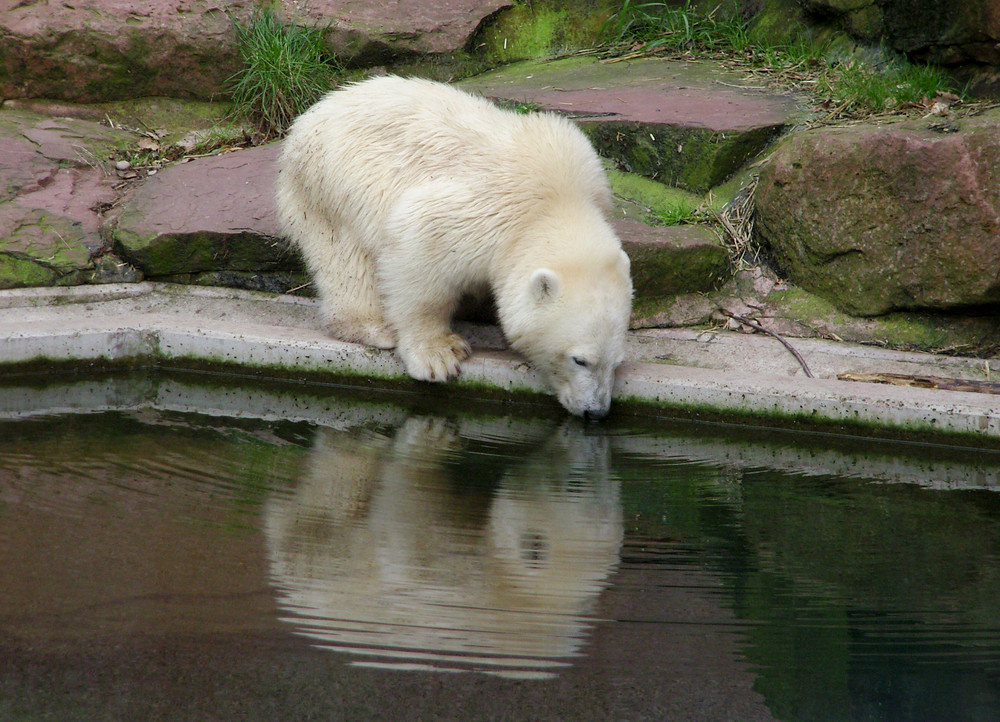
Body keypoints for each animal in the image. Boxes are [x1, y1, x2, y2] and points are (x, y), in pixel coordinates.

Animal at [276, 76, 632, 420]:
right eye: (579, 360)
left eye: (616, 362)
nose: (596, 413)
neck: (556, 201)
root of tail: (315, 112)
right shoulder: (482, 213)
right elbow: (420, 252)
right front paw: (439, 355)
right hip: (333, 184)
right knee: (345, 258)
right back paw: (372, 327)